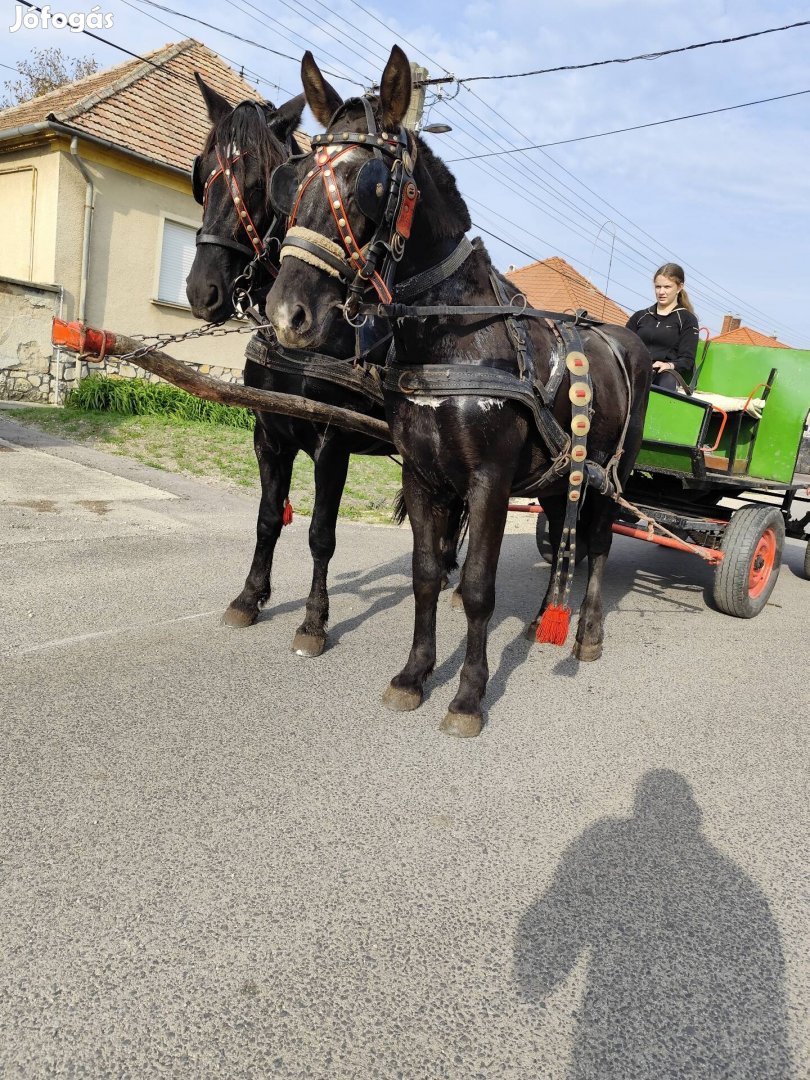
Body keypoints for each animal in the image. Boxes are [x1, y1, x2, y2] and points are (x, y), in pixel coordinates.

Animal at [185, 76, 462, 652]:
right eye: (204, 175)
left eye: (259, 183)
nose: (203, 292)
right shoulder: (268, 433)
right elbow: (268, 519)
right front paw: (250, 597)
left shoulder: (331, 444)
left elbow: (320, 535)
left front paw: (314, 620)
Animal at [266, 44, 652, 734]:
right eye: (300, 174)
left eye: (372, 182)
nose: (288, 313)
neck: (456, 338)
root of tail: (621, 340)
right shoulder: (422, 475)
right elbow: (425, 575)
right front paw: (414, 675)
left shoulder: (489, 481)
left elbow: (475, 587)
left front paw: (469, 695)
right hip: (558, 477)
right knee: (567, 536)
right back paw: (542, 620)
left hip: (611, 475)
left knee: (600, 544)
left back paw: (586, 634)